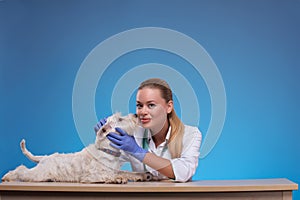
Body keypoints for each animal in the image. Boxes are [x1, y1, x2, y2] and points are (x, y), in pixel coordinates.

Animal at [1, 113, 152, 184]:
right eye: (120, 119)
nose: (136, 115)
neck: (106, 150)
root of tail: (44, 158)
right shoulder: (92, 175)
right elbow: (109, 176)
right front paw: (117, 180)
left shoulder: (114, 169)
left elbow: (128, 173)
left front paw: (143, 175)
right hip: (39, 174)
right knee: (21, 170)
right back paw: (7, 177)